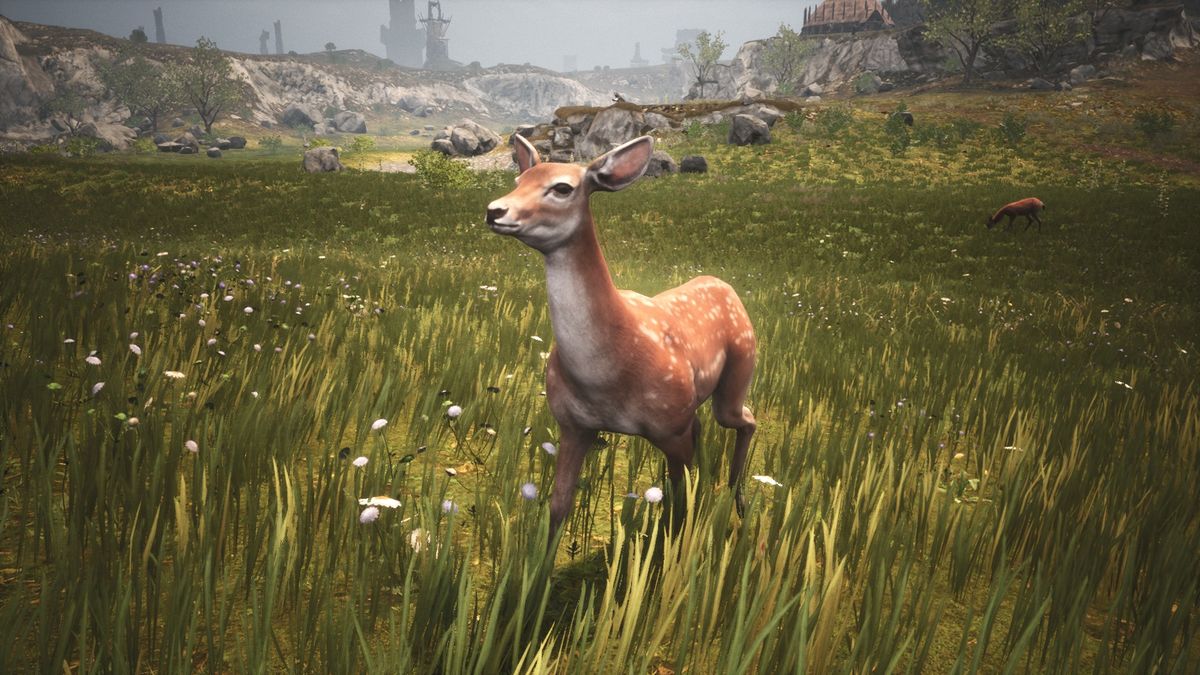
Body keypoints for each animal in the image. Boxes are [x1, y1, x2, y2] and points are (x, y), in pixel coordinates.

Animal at [486, 135, 757, 550]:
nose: (494, 210)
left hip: (738, 371)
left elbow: (679, 503)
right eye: (518, 180)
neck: (608, 370)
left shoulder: (670, 429)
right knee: (707, 427)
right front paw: (539, 567)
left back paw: (737, 498)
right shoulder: (573, 425)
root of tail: (722, 284)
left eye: (562, 188)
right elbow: (558, 505)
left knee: (746, 419)